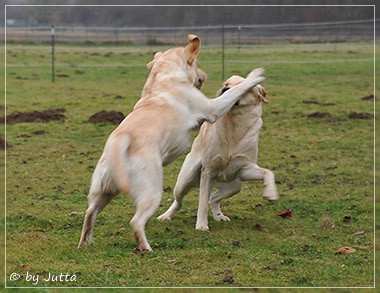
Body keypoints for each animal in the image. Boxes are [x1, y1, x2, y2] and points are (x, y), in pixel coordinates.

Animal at [78, 34, 266, 251]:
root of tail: (119, 139)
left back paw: (85, 242)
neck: (162, 78)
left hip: (104, 191)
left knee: (90, 213)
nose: (205, 75)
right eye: (196, 64)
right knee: (136, 222)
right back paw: (146, 248)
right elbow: (233, 92)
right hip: (151, 192)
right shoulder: (212, 108)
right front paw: (255, 76)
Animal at [158, 74, 280, 229]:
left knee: (213, 198)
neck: (235, 125)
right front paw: (201, 225)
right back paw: (166, 216)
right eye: (226, 84)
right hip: (185, 180)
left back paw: (219, 216)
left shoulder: (245, 169)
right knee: (180, 201)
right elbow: (202, 204)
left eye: (241, 86)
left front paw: (271, 194)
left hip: (234, 187)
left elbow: (268, 172)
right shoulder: (208, 172)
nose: (224, 90)